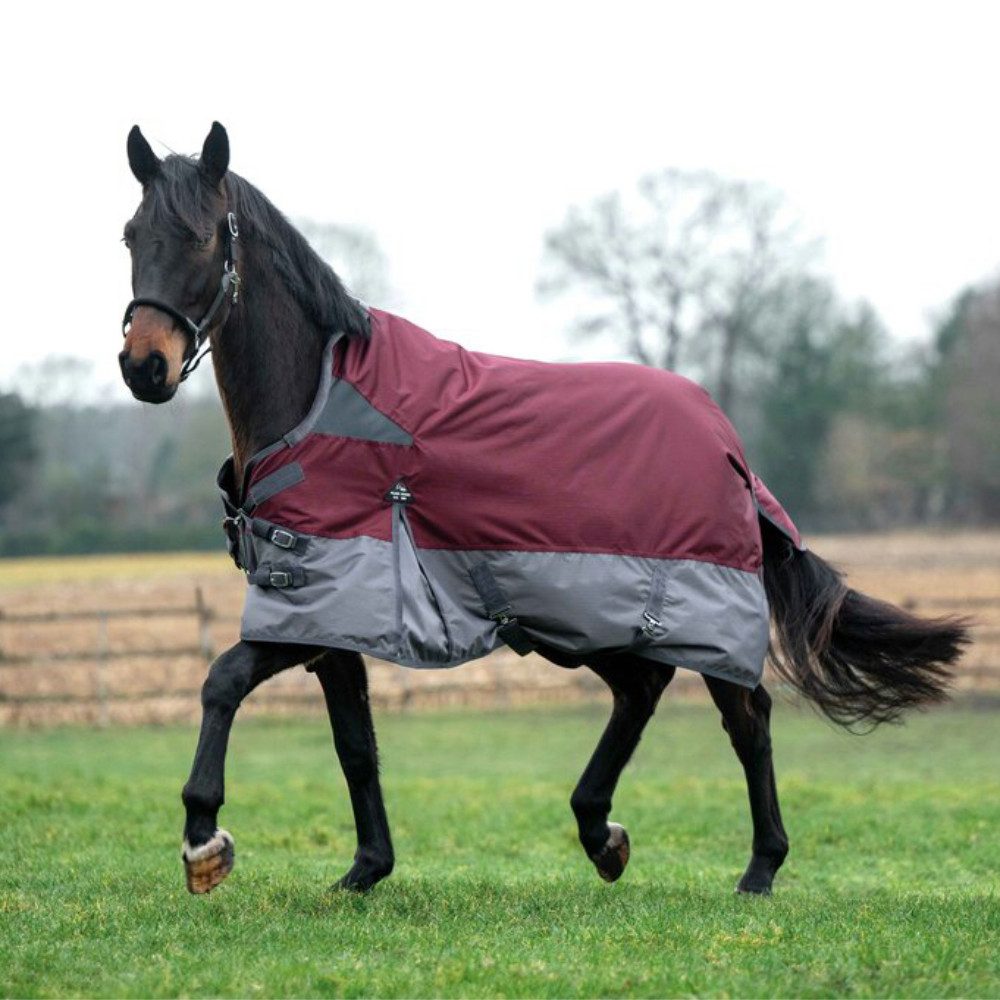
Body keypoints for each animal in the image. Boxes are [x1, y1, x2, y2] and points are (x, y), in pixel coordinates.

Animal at [119, 122, 968, 897]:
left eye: (201, 237)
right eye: (130, 235)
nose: (143, 366)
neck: (316, 404)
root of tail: (729, 444)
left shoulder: (310, 608)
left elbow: (221, 680)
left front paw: (204, 841)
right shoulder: (329, 617)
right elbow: (354, 745)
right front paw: (364, 871)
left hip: (679, 610)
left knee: (745, 716)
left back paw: (757, 869)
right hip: (592, 615)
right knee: (643, 693)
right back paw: (603, 834)